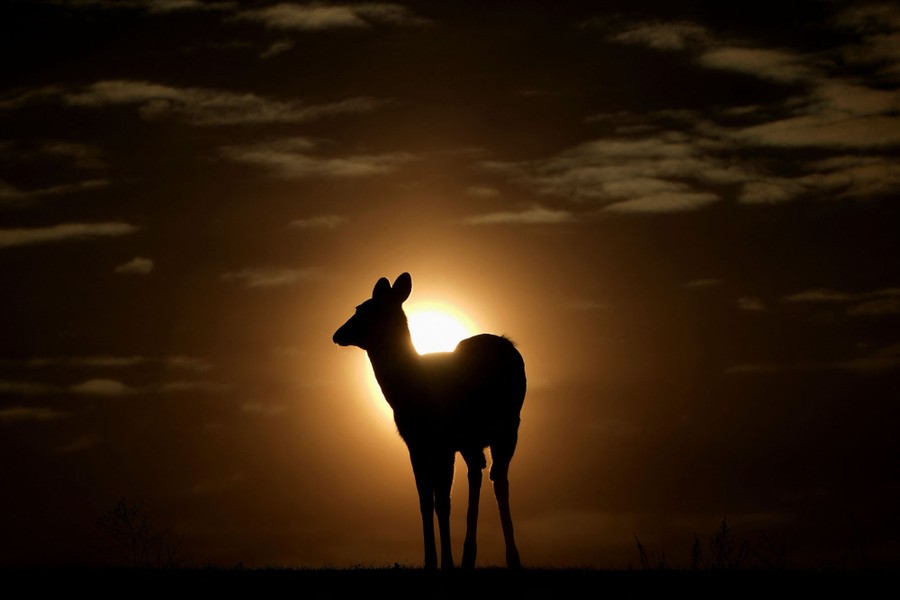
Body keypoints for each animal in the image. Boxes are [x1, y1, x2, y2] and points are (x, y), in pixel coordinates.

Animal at [332, 272, 525, 570]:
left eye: (363, 309)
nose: (337, 334)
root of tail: (508, 345)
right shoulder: (415, 443)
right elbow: (424, 500)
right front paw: (430, 561)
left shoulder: (443, 442)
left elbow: (442, 501)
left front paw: (446, 562)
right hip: (471, 440)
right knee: (478, 474)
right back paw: (468, 557)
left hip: (508, 426)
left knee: (500, 480)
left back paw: (512, 558)